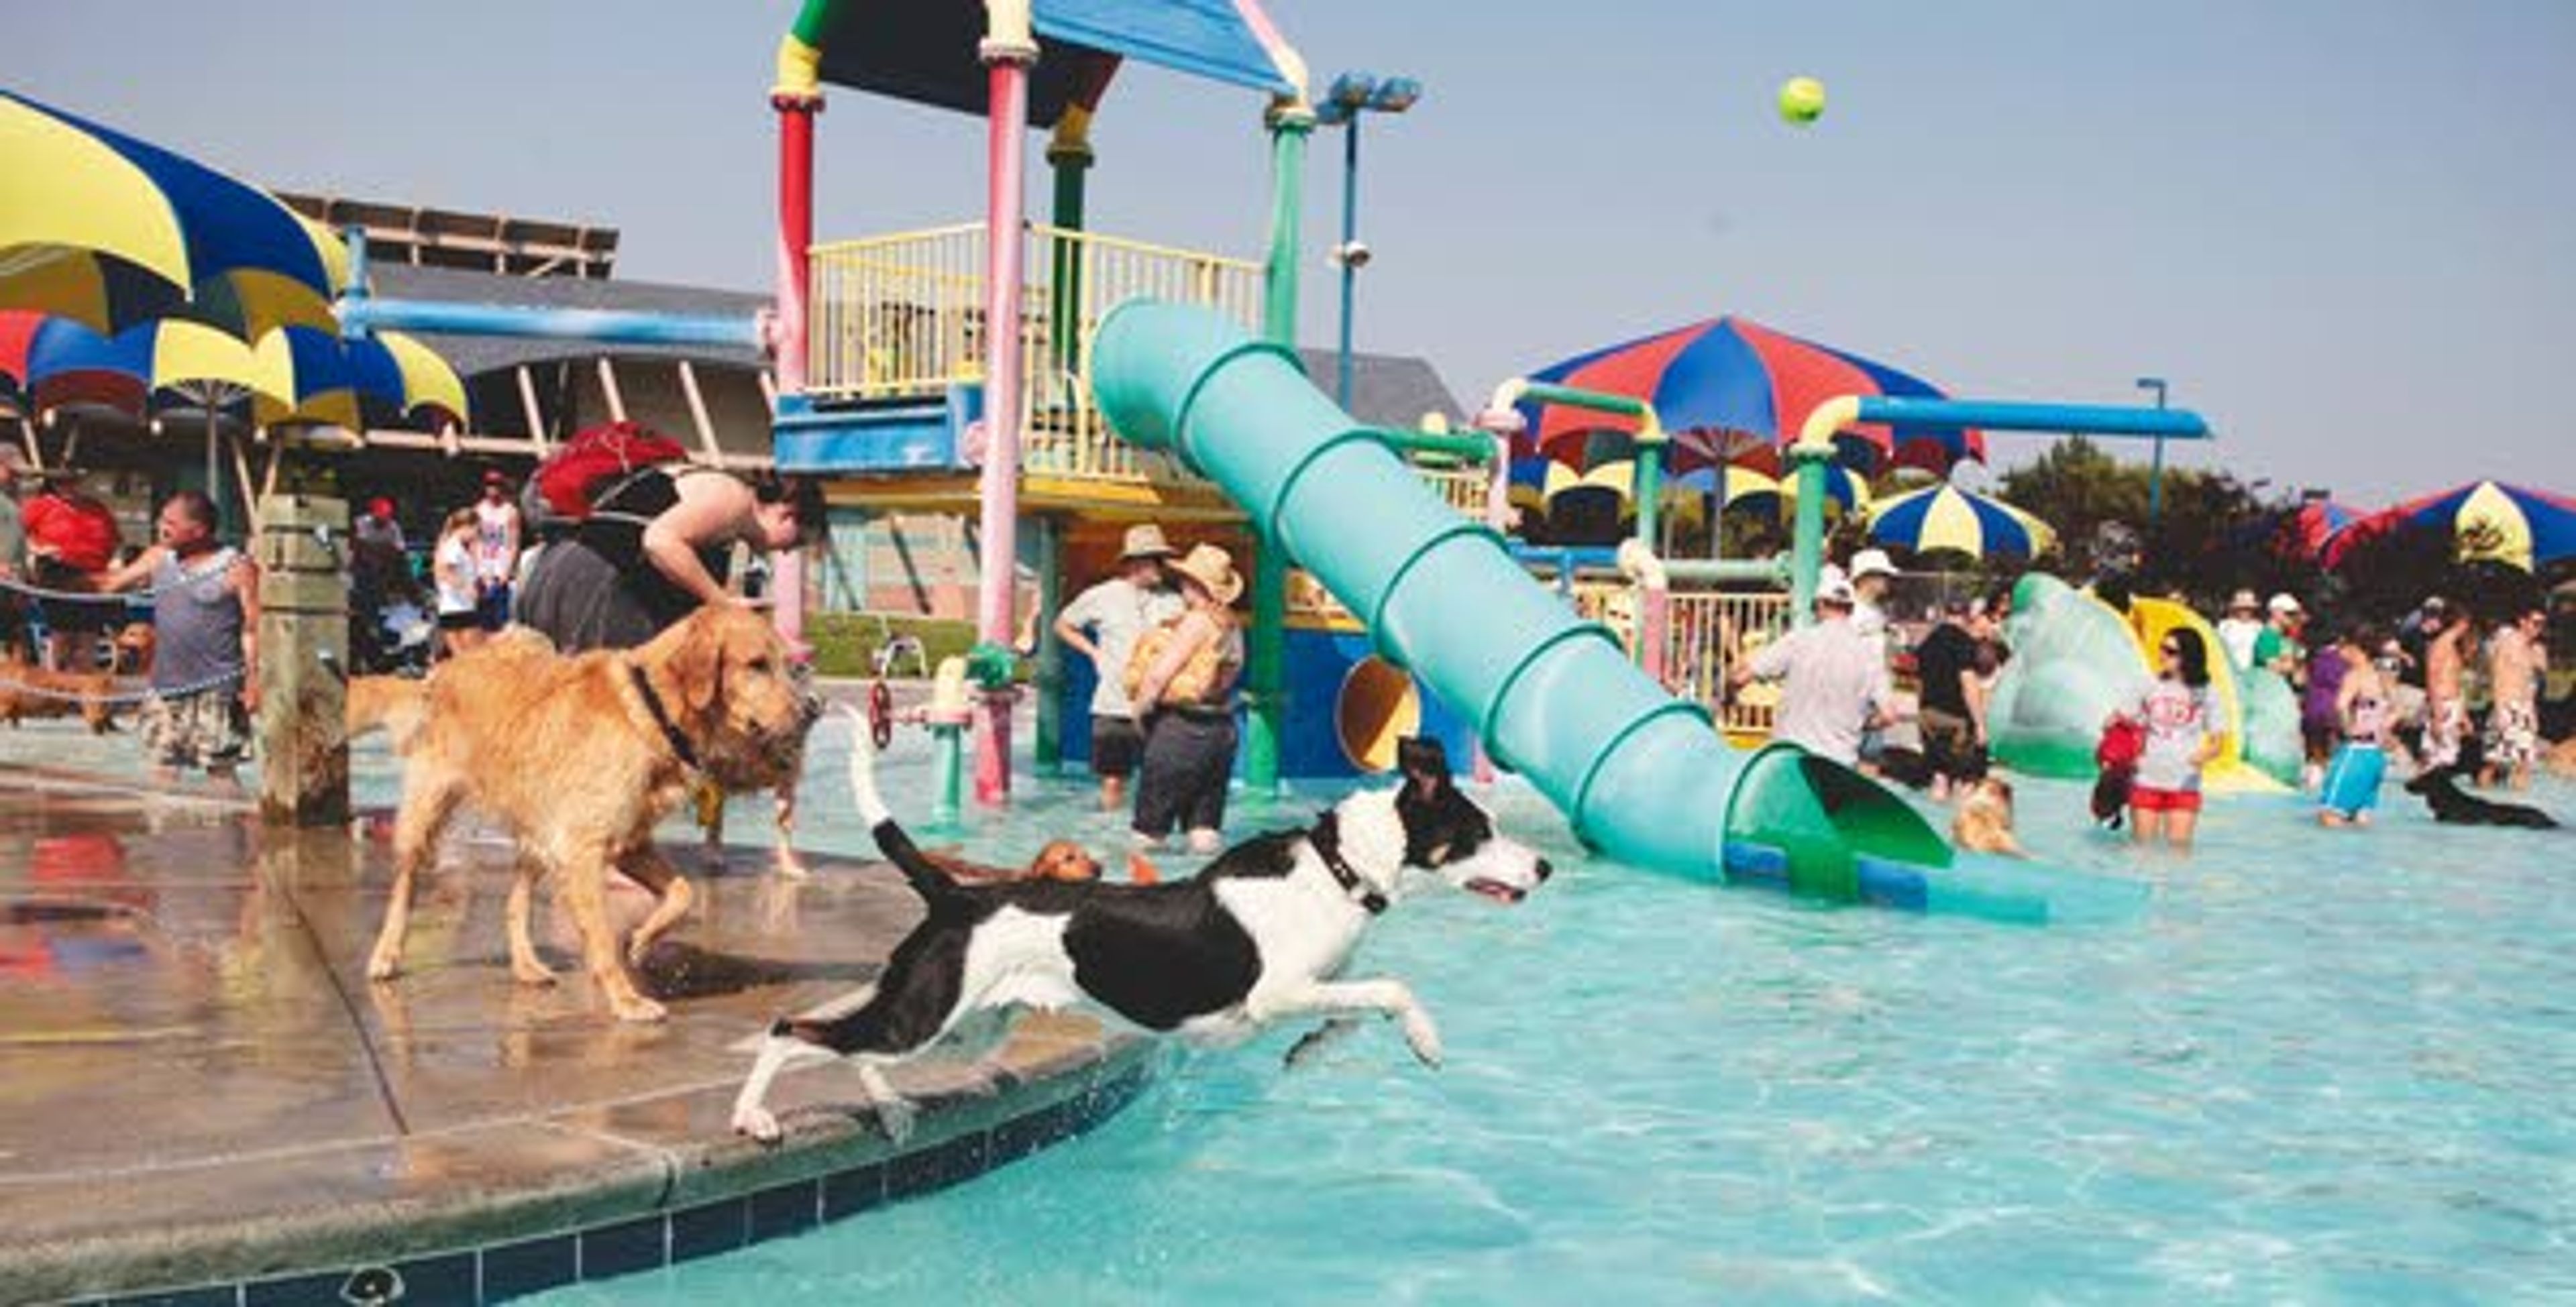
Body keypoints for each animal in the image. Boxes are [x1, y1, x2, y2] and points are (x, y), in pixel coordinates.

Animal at [726, 715, 1546, 1142]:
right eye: (1480, 831)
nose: (1542, 866)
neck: (1339, 866)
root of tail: (954, 895)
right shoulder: (1277, 993)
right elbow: (1394, 988)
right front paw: (1426, 1039)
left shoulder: (1319, 986)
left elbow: (1351, 1010)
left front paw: (1312, 1050)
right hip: (924, 1017)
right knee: (789, 1030)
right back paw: (752, 1113)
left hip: (962, 1025)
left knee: (840, 1038)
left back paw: (889, 1107)